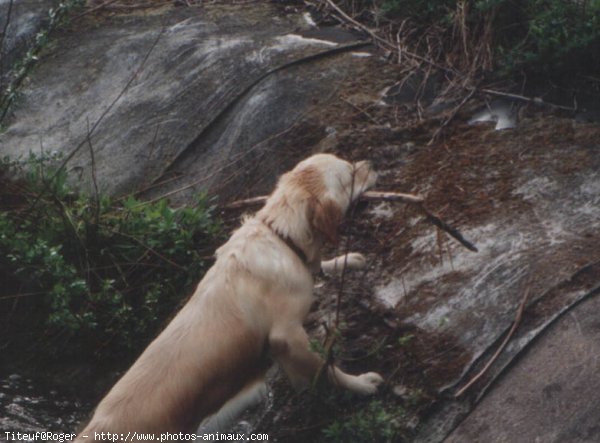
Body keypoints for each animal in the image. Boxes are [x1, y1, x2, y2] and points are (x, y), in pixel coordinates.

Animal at [76, 153, 384, 440]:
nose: (372, 163)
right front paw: (360, 384)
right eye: (350, 174)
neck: (281, 238)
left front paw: (345, 260)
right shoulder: (288, 335)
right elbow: (326, 366)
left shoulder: (283, 345)